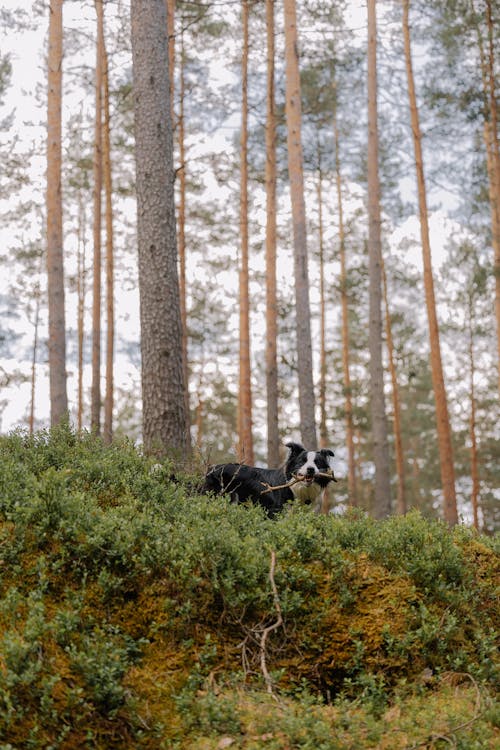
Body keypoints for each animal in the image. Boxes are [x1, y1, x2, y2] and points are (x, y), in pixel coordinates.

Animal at [202, 440, 336, 516]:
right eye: (301, 462)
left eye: (317, 463)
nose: (311, 469)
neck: (302, 490)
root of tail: (212, 468)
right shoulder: (275, 511)